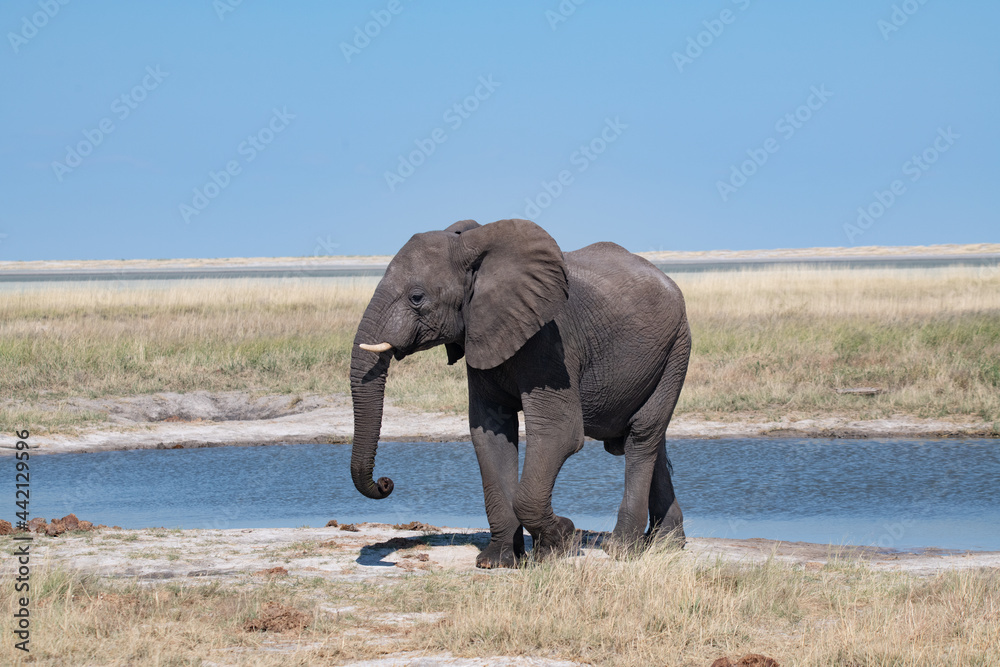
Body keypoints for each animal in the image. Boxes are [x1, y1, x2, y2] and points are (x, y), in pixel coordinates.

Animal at [350, 218, 690, 568]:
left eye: (416, 297)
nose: (386, 483)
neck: (477, 249)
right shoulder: (482, 333)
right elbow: (490, 434)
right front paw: (496, 561)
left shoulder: (551, 342)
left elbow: (559, 435)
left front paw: (560, 540)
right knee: (652, 440)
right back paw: (666, 544)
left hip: (677, 348)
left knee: (641, 437)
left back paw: (624, 549)